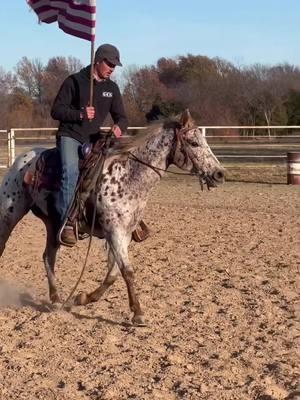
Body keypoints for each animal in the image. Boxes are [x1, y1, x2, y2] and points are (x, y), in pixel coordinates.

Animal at [0, 109, 224, 324]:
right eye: (194, 143)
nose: (219, 174)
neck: (128, 176)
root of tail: (23, 158)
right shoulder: (114, 231)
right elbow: (127, 271)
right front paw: (138, 314)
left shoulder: (124, 234)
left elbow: (113, 274)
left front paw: (82, 298)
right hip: (9, 213)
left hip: (53, 224)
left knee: (48, 256)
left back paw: (56, 300)